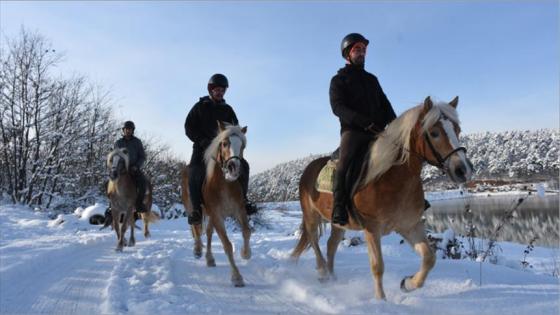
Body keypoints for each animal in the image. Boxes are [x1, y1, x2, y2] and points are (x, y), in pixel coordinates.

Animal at [180, 121, 250, 288]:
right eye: (224, 143)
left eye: (243, 146)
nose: (234, 168)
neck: (224, 184)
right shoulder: (217, 216)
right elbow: (227, 245)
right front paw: (237, 277)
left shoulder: (239, 210)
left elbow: (246, 231)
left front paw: (245, 253)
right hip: (192, 207)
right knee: (195, 228)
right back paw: (198, 250)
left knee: (209, 233)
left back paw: (209, 259)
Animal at [294, 97, 472, 302]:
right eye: (434, 133)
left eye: (457, 130)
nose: (463, 170)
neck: (391, 177)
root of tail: (309, 169)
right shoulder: (372, 228)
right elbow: (377, 266)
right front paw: (381, 301)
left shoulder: (409, 226)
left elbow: (429, 258)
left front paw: (408, 284)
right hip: (311, 216)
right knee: (314, 240)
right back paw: (323, 272)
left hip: (338, 223)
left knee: (331, 245)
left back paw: (332, 277)